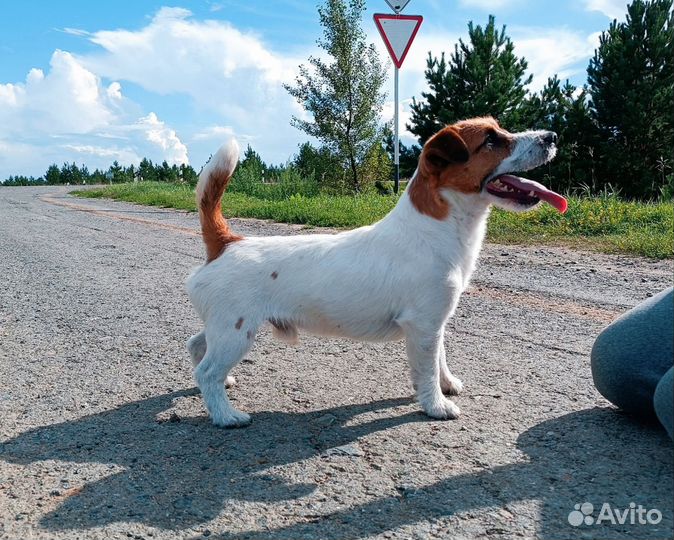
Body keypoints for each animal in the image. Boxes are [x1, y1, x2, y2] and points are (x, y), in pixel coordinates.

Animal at [186, 117, 564, 426]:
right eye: (491, 140)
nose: (552, 136)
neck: (434, 229)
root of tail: (227, 243)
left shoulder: (435, 323)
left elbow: (440, 359)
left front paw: (447, 384)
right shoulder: (423, 325)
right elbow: (426, 370)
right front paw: (436, 405)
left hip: (225, 329)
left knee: (196, 346)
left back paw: (224, 384)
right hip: (236, 333)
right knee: (207, 372)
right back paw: (226, 415)